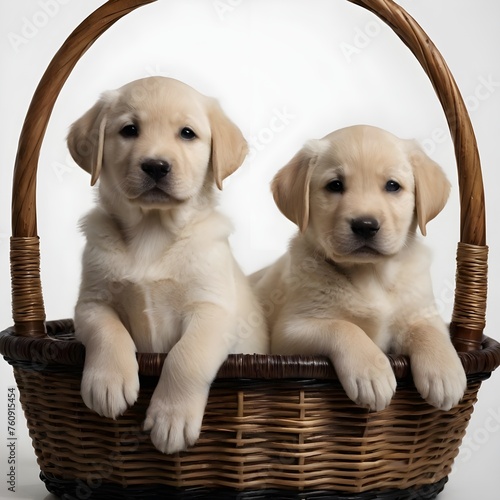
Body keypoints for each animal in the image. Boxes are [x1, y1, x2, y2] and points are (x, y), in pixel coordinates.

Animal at [69, 76, 270, 456]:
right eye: (129, 130)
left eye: (187, 133)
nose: (156, 166)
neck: (153, 232)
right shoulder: (91, 302)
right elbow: (107, 330)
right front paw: (108, 381)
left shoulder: (213, 310)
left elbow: (185, 357)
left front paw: (171, 416)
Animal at [252, 126, 466, 414]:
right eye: (335, 185)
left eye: (392, 186)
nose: (365, 225)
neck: (371, 275)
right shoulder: (288, 333)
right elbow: (343, 327)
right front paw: (372, 373)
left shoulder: (421, 311)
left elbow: (429, 331)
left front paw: (445, 373)